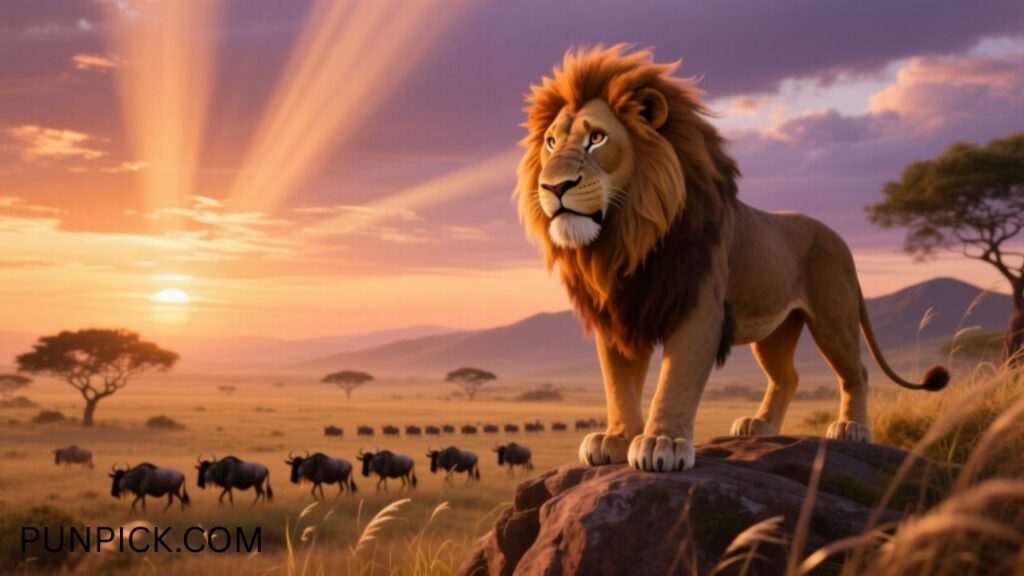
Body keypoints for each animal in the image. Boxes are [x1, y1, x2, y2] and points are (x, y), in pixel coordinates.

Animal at [515, 45, 949, 473]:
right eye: (550, 143)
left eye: (597, 138)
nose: (553, 187)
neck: (626, 238)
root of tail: (840, 239)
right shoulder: (620, 310)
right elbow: (617, 382)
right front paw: (617, 439)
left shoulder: (698, 307)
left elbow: (677, 378)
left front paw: (662, 443)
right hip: (776, 329)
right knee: (788, 377)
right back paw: (760, 426)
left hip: (832, 318)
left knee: (855, 370)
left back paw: (852, 428)